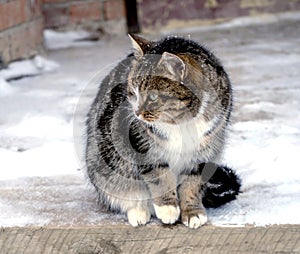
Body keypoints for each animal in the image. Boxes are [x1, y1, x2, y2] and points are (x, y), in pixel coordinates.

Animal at [85, 34, 240, 228]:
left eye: (152, 96)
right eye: (133, 93)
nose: (136, 113)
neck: (182, 123)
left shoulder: (206, 149)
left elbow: (193, 182)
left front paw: (192, 212)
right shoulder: (141, 144)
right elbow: (159, 176)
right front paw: (168, 208)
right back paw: (138, 212)